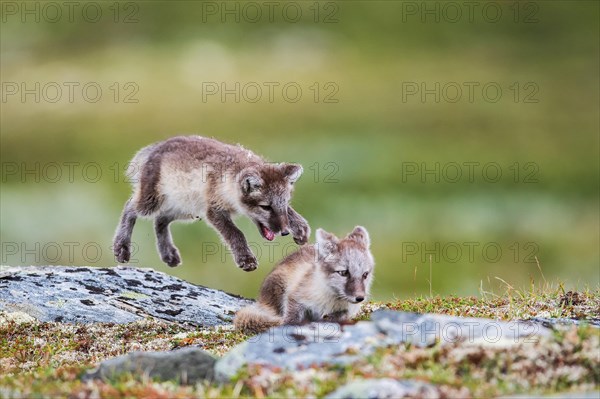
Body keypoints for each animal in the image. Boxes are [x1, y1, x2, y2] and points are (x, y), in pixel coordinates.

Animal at [111, 136, 310, 270]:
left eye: (285, 203)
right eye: (265, 207)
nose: (284, 232)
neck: (230, 173)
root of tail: (155, 147)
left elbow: (293, 214)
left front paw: (300, 229)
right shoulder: (213, 210)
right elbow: (236, 233)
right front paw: (246, 259)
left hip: (186, 210)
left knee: (160, 220)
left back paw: (168, 254)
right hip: (152, 202)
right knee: (130, 207)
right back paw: (121, 247)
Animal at [234, 227, 376, 332]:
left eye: (365, 274)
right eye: (343, 272)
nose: (360, 298)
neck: (331, 300)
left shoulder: (348, 310)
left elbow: (341, 315)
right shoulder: (295, 296)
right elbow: (290, 318)